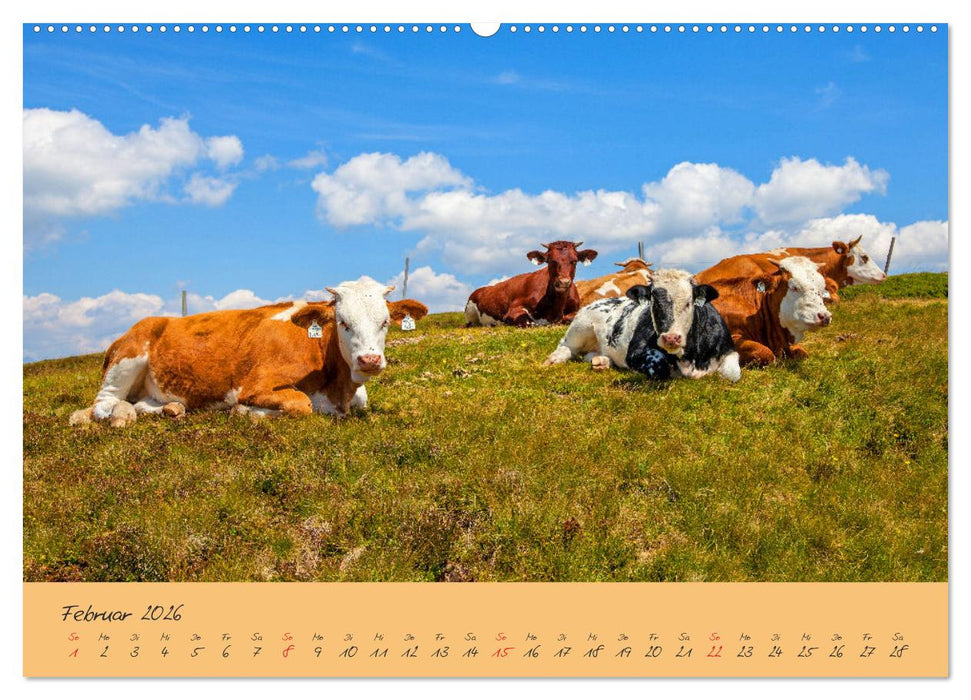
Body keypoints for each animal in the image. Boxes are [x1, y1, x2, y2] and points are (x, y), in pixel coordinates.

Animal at [69, 277, 428, 427]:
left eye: (384, 321)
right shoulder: (255, 385)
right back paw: (120, 416)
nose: (369, 360)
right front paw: (245, 413)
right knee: (100, 405)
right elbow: (300, 404)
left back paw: (171, 409)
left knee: (143, 404)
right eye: (343, 322)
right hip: (128, 359)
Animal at [464, 241, 598, 327]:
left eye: (574, 261)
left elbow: (570, 317)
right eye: (551, 261)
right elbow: (529, 322)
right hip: (470, 312)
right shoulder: (514, 309)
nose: (563, 282)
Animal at [544, 268, 741, 382]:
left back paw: (602, 361)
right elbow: (660, 368)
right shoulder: (634, 353)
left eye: (688, 303)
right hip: (580, 326)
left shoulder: (729, 350)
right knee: (566, 346)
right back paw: (554, 359)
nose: (671, 338)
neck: (691, 359)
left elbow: (733, 374)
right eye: (654, 303)